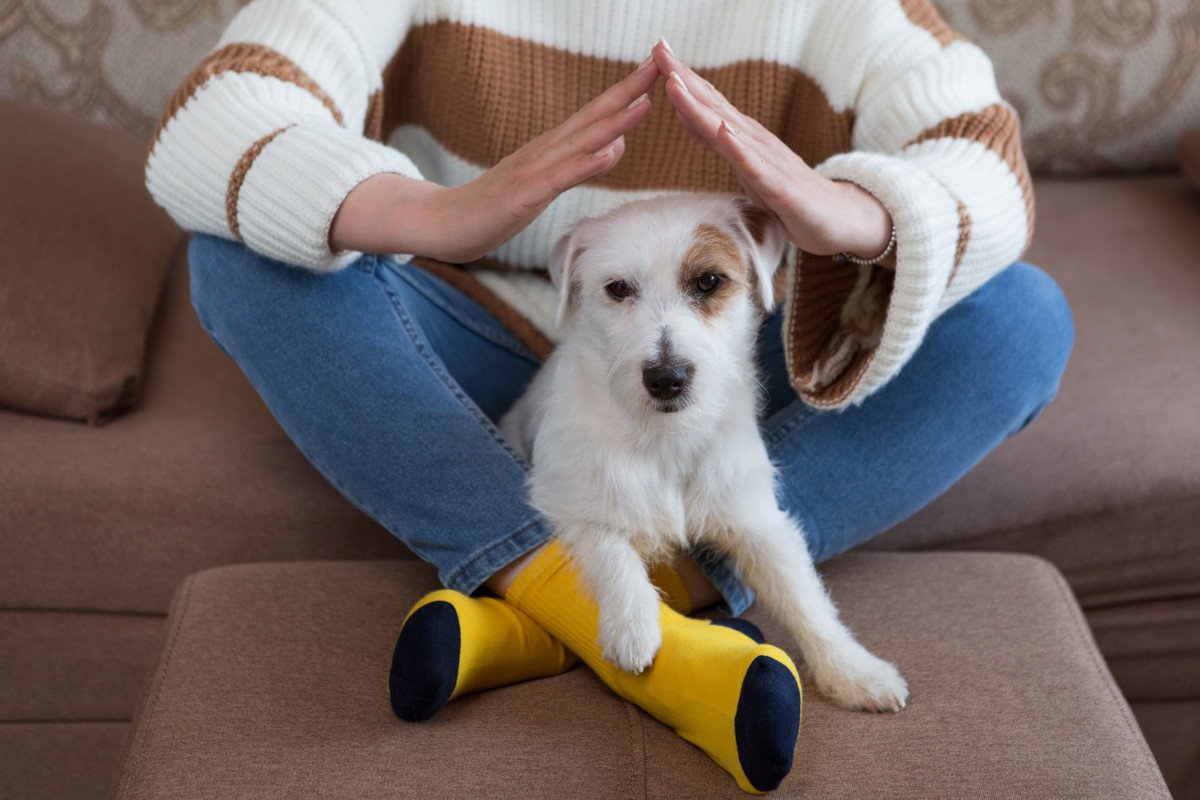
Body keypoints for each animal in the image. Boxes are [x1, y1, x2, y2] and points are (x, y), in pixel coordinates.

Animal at [499, 194, 907, 714]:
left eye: (708, 281)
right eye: (618, 288)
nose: (666, 378)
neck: (667, 437)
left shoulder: (757, 522)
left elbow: (804, 598)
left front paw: (853, 670)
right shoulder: (566, 496)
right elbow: (608, 544)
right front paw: (632, 625)